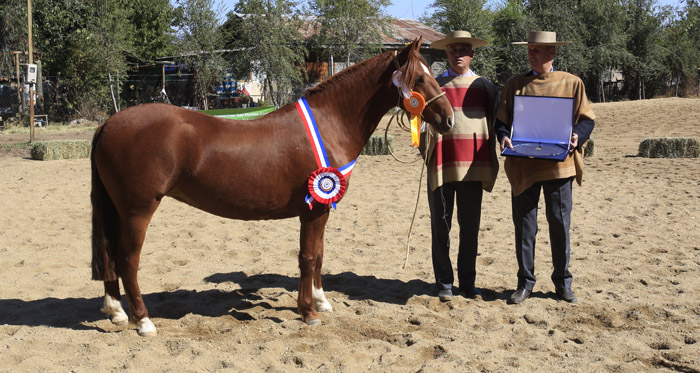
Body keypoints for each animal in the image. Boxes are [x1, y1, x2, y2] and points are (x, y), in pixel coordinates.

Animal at [91, 37, 454, 334]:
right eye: (419, 78)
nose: (448, 119)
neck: (330, 123)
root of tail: (108, 123)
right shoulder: (313, 210)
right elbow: (307, 256)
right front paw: (308, 312)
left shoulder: (322, 210)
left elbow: (319, 255)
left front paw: (321, 301)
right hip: (138, 210)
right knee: (127, 259)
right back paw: (143, 321)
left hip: (118, 210)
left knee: (110, 255)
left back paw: (116, 311)